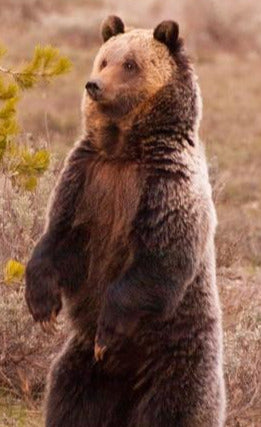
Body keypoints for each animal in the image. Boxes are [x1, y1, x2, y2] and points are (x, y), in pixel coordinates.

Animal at [25, 15, 224, 426]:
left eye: (130, 64)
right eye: (104, 59)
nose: (94, 85)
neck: (123, 149)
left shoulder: (164, 186)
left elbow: (159, 260)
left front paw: (107, 331)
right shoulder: (87, 180)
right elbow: (59, 237)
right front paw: (42, 305)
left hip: (179, 358)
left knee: (178, 407)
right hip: (86, 370)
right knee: (69, 399)